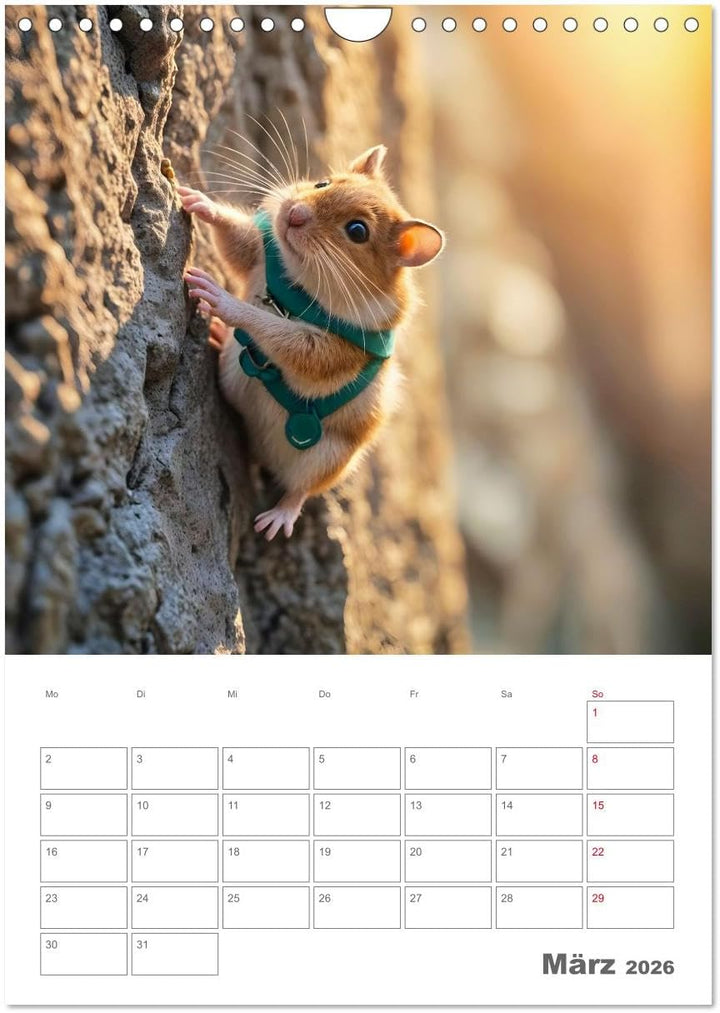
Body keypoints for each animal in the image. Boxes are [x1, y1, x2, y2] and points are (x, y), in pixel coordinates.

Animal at [180, 145, 444, 540]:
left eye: (357, 230)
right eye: (324, 182)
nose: (294, 214)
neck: (302, 282)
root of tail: (263, 454)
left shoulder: (331, 350)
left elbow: (278, 333)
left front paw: (219, 298)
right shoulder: (262, 257)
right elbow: (238, 241)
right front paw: (196, 199)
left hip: (326, 460)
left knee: (300, 489)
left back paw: (278, 518)